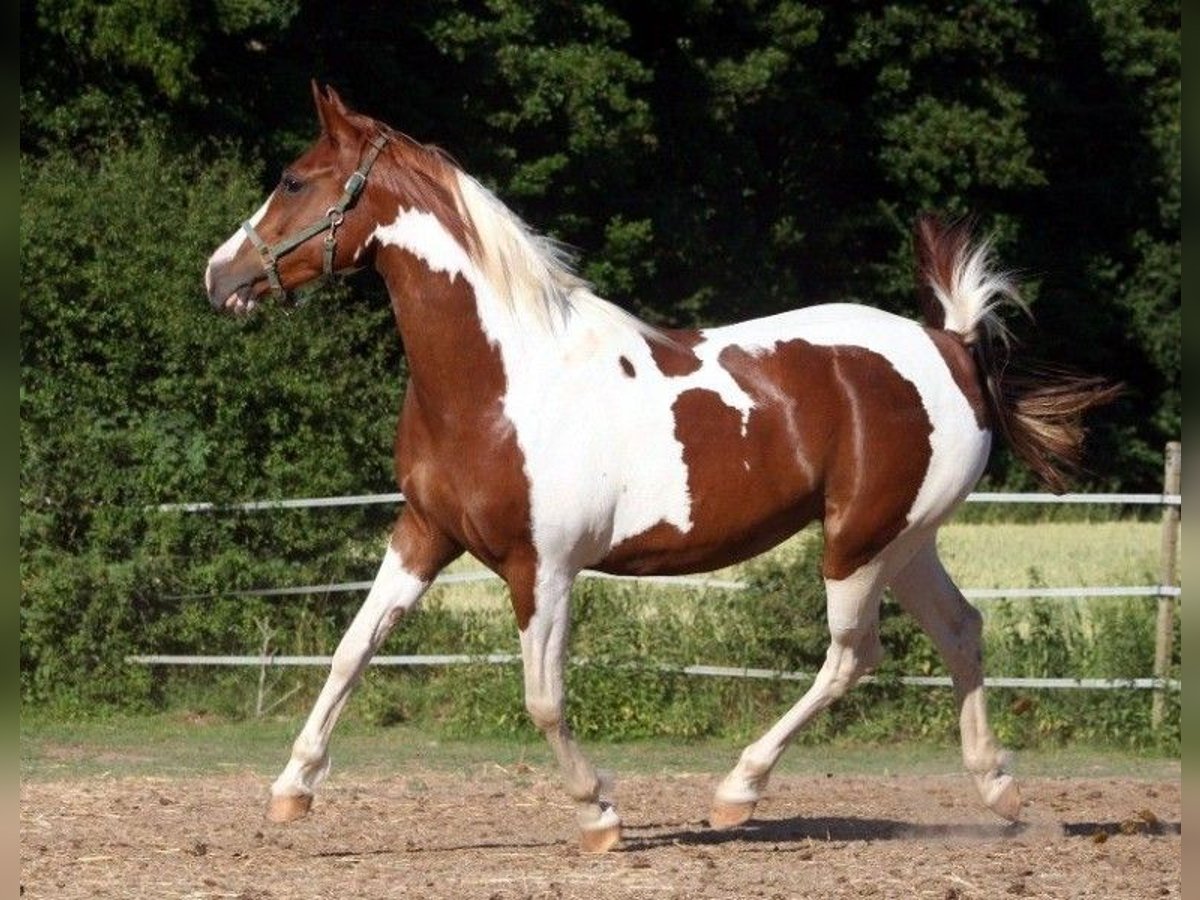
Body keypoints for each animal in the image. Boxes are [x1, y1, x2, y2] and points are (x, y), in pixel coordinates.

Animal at [204, 82, 1113, 854]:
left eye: (293, 180)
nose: (219, 276)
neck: (500, 377)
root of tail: (951, 347)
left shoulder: (544, 567)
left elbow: (542, 698)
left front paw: (600, 813)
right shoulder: (425, 533)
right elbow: (352, 650)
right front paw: (291, 789)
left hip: (858, 544)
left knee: (854, 656)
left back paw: (738, 791)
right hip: (908, 542)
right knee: (962, 631)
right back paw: (998, 791)